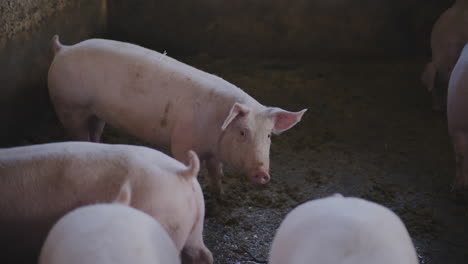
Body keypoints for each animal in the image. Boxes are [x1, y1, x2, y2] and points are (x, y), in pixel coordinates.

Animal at [45, 35, 306, 192]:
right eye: (243, 132)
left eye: (269, 136)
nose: (263, 174)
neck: (216, 127)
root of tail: (62, 49)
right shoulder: (182, 143)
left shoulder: (214, 152)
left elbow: (216, 170)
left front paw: (220, 194)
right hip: (68, 105)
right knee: (78, 134)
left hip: (95, 112)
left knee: (95, 131)